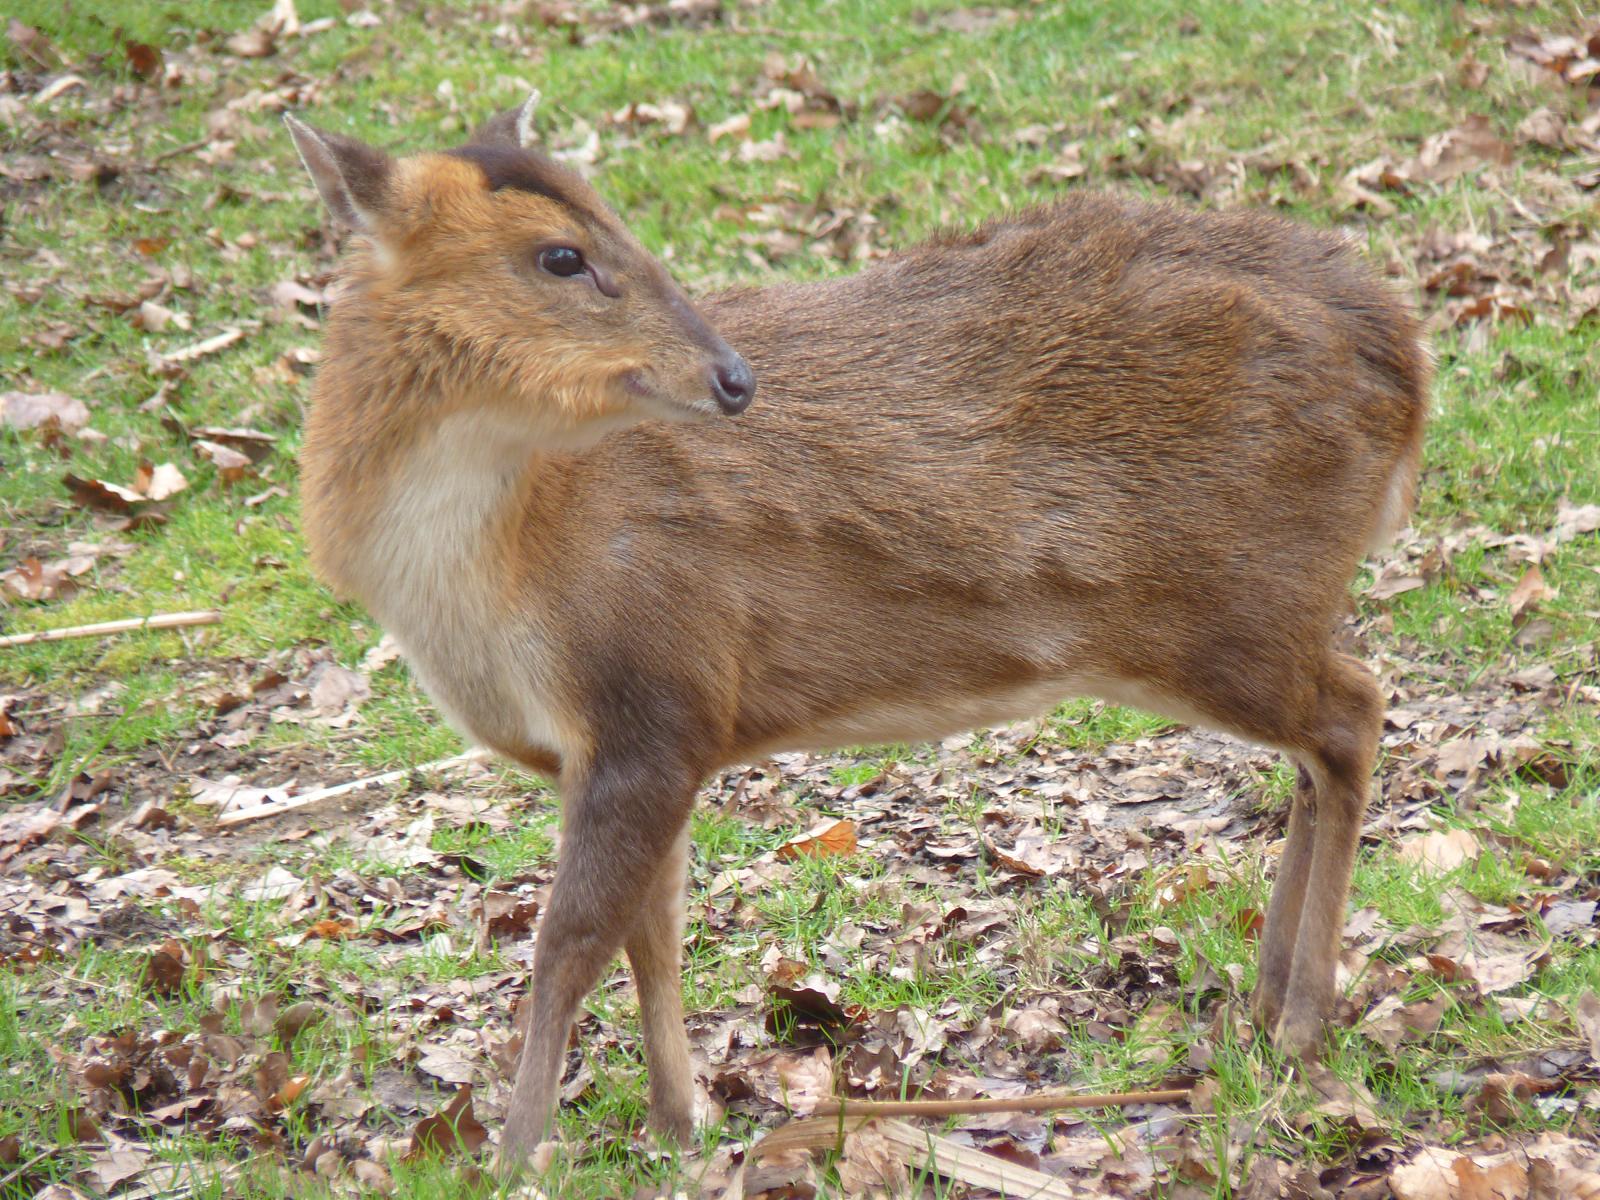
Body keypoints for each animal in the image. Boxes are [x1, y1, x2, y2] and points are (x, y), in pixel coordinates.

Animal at [284, 94, 1429, 1164]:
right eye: (562, 254)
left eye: (611, 225)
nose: (733, 377)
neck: (511, 568)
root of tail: (1403, 357)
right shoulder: (637, 737)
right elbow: (654, 933)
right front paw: (675, 1124)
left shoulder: (656, 691)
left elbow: (569, 942)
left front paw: (520, 1153)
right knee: (1320, 743)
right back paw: (1265, 1000)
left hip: (1226, 605)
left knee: (1355, 710)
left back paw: (1301, 1022)